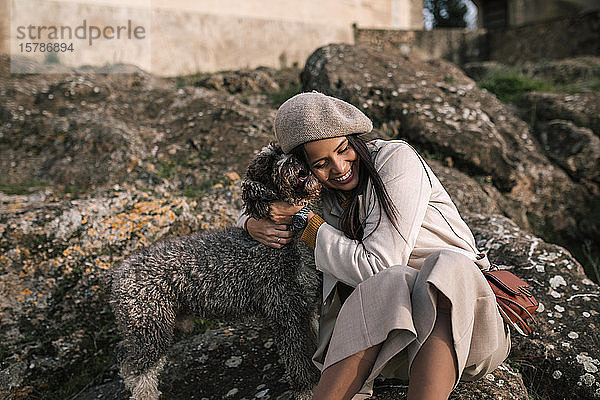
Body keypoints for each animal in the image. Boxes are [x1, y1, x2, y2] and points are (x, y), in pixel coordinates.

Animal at [108, 144, 324, 400]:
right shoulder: (286, 311)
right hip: (150, 322)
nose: (295, 157)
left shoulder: (306, 307)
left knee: (126, 354)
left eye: (281, 150)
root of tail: (119, 273)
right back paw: (144, 392)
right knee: (139, 367)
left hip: (163, 321)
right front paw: (307, 389)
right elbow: (298, 358)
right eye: (269, 165)